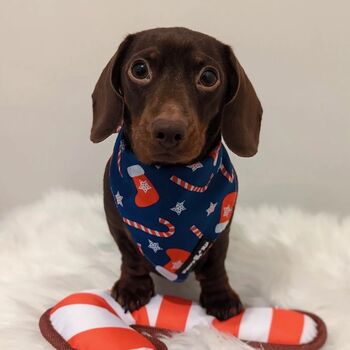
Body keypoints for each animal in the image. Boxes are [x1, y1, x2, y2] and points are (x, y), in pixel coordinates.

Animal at [91, 27, 262, 322]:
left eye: (209, 77)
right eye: (139, 69)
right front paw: (133, 288)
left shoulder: (220, 232)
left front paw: (220, 297)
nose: (169, 131)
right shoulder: (118, 225)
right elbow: (131, 258)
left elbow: (215, 266)